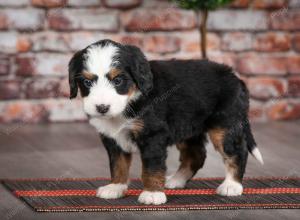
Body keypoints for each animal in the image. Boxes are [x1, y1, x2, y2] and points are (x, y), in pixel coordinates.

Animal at [68, 38, 262, 205]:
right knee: (196, 155)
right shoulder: (112, 138)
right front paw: (116, 187)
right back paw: (176, 180)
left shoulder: (153, 134)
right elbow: (118, 164)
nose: (102, 107)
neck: (130, 101)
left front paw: (152, 194)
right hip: (187, 126)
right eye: (87, 82)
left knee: (237, 152)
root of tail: (235, 77)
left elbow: (152, 167)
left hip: (225, 125)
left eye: (118, 80)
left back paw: (232, 185)